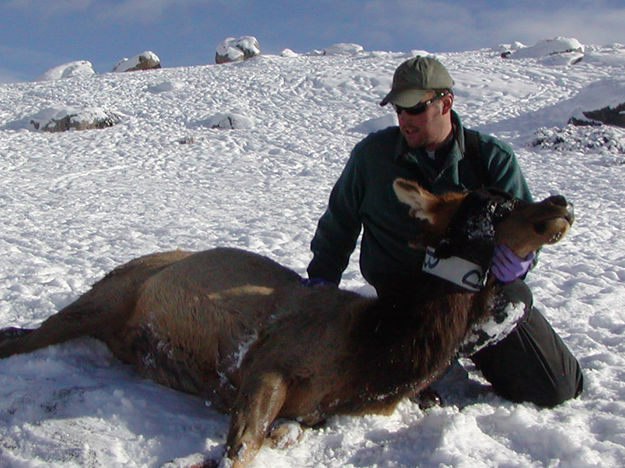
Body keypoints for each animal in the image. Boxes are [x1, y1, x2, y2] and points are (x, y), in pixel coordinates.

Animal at [0, 180, 572, 468]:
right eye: (498, 205)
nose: (561, 202)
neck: (376, 355)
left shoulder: (314, 406)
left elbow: (282, 434)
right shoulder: (268, 365)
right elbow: (239, 452)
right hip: (107, 295)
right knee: (24, 336)